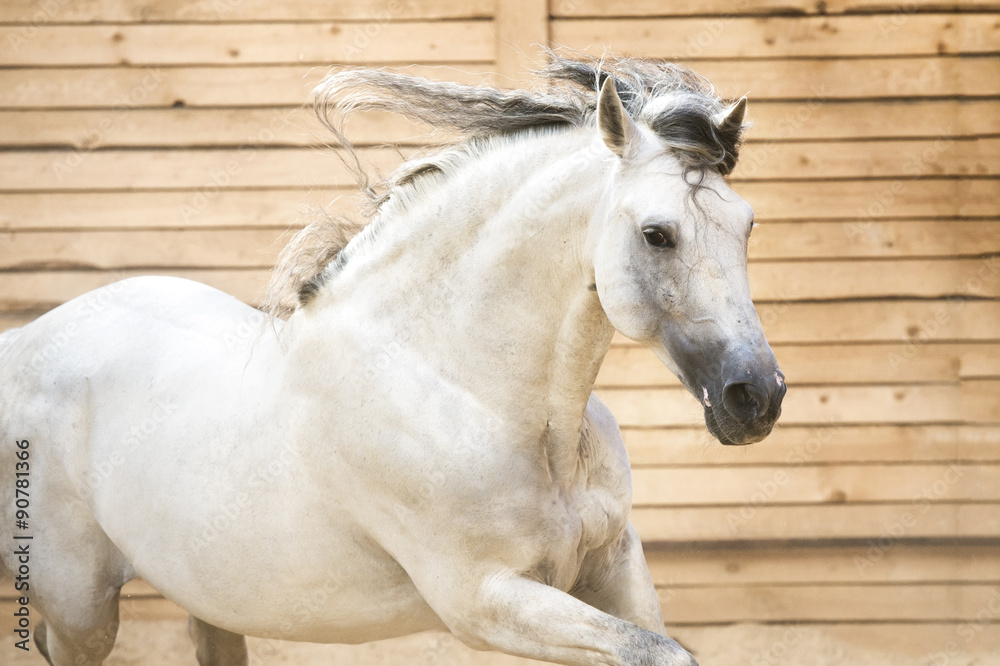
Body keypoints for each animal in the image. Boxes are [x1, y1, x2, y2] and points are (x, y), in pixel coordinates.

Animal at [0, 53, 784, 666]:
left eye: (747, 225)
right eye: (657, 234)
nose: (758, 396)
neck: (460, 387)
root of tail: (25, 344)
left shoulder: (614, 564)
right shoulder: (483, 599)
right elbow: (662, 653)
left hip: (208, 601)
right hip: (79, 610)